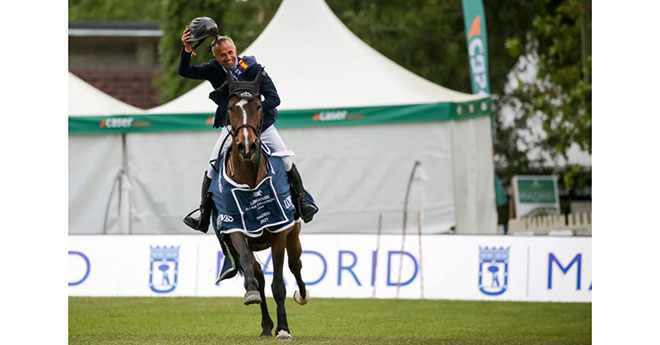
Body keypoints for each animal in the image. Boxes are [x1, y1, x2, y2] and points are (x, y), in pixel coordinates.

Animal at [218, 68, 308, 340]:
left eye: (258, 105)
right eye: (231, 107)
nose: (246, 146)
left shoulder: (279, 231)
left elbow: (279, 284)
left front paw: (284, 329)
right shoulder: (234, 228)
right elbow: (251, 268)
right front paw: (251, 293)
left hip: (293, 234)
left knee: (295, 264)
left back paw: (302, 295)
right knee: (259, 274)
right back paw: (267, 324)